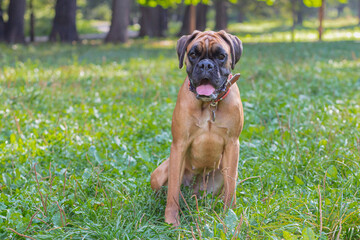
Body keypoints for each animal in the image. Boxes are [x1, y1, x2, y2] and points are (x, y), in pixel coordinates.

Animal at [150, 30, 243, 225]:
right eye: (193, 54)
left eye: (221, 56)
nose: (205, 65)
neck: (209, 105)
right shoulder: (179, 145)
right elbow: (172, 191)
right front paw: (172, 220)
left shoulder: (233, 145)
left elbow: (231, 187)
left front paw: (229, 215)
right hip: (158, 174)